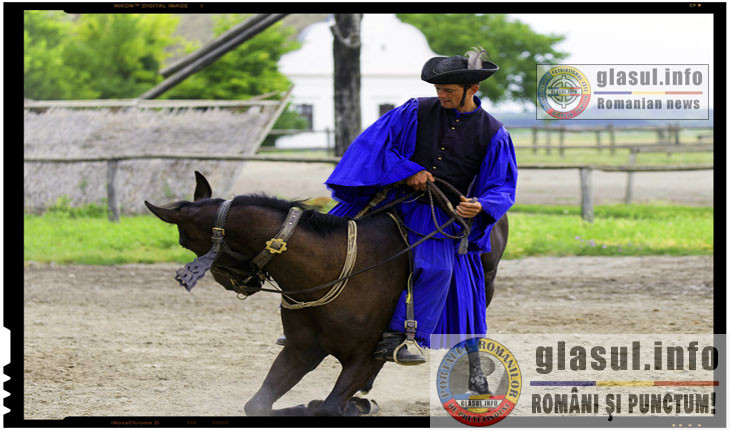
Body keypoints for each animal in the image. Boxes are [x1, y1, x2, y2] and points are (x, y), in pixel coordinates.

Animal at [144, 172, 506, 416]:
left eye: (185, 242)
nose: (231, 283)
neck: (326, 265)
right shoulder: (302, 350)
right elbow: (257, 405)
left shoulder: (362, 356)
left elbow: (327, 407)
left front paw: (351, 405)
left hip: (484, 284)